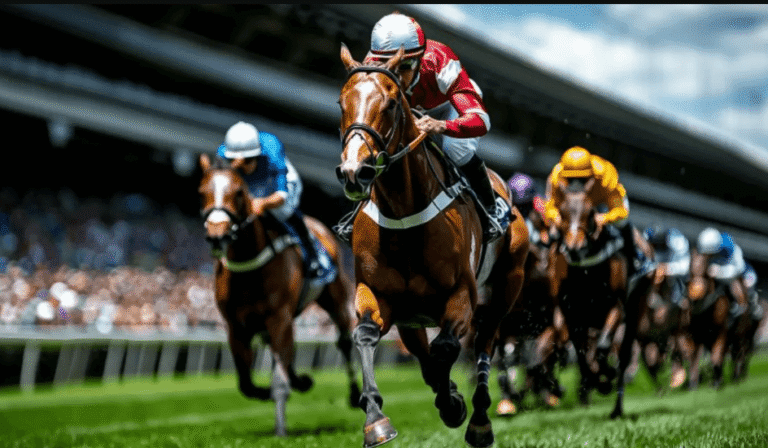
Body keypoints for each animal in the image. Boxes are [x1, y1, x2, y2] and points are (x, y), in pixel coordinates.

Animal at [197, 154, 360, 436]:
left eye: (238, 192)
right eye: (202, 191)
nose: (217, 235)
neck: (249, 266)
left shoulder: (279, 318)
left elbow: (279, 381)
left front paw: (281, 430)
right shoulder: (236, 326)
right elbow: (246, 383)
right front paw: (272, 390)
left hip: (336, 298)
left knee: (344, 341)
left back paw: (355, 395)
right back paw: (301, 380)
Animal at [337, 45, 529, 448]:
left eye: (391, 103)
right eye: (341, 101)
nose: (353, 172)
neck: (404, 212)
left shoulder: (462, 295)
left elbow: (445, 349)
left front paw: (455, 403)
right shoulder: (379, 294)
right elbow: (369, 336)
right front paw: (376, 420)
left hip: (506, 287)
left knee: (486, 342)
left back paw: (481, 419)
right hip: (412, 315)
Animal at [551, 178, 654, 418]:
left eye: (589, 212)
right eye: (562, 211)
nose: (575, 247)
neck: (586, 271)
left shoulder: (615, 306)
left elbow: (603, 346)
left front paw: (605, 377)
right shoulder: (570, 312)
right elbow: (581, 354)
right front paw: (593, 379)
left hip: (635, 310)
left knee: (624, 355)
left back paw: (616, 407)